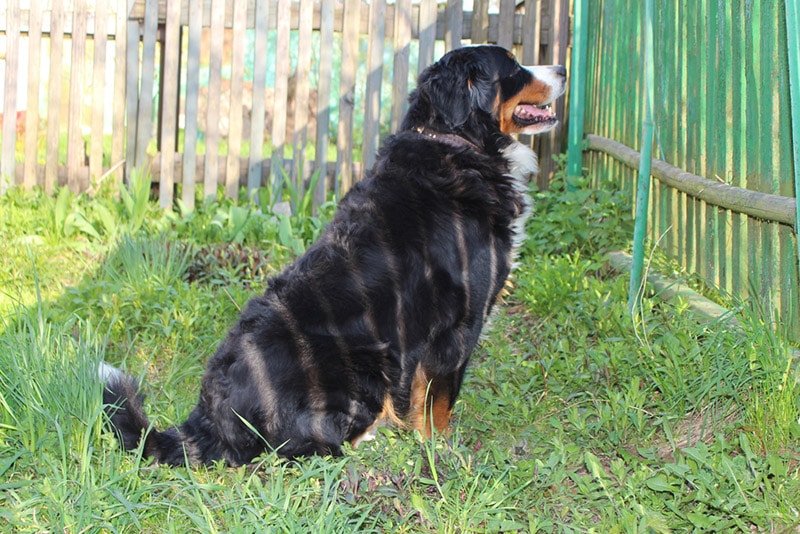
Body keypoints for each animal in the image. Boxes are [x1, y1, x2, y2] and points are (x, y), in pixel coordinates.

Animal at [100, 45, 564, 464]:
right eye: (514, 67)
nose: (561, 67)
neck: (456, 145)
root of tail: (210, 415)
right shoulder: (457, 327)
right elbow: (439, 406)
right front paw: (440, 452)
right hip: (367, 361)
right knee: (304, 448)